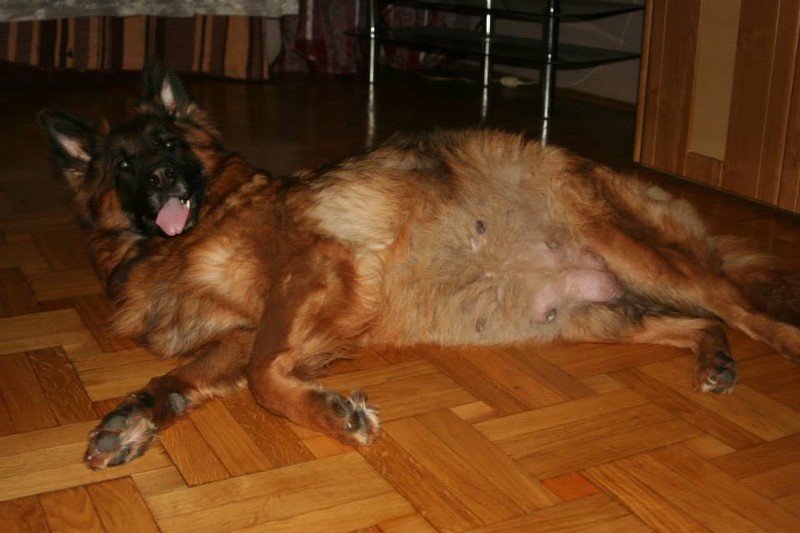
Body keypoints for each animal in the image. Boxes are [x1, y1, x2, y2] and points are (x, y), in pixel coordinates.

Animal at [39, 60, 800, 470]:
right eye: (125, 164)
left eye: (170, 144)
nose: (165, 178)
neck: (195, 225)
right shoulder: (239, 329)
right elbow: (185, 375)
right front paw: (135, 415)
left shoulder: (309, 272)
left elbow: (261, 375)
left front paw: (327, 410)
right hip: (594, 314)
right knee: (701, 321)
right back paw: (714, 359)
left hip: (631, 251)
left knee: (737, 305)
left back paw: (782, 339)